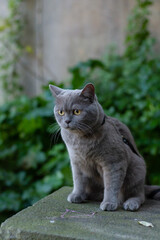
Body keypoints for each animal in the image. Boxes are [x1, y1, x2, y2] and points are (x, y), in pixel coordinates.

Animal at [49, 83, 159, 211]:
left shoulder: (114, 162)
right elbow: (78, 180)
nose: (67, 121)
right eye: (61, 112)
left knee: (139, 195)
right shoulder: (76, 162)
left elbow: (111, 185)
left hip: (136, 169)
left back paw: (131, 203)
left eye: (77, 111)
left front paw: (109, 203)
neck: (80, 140)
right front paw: (76, 195)